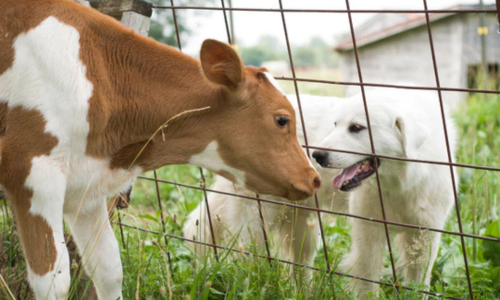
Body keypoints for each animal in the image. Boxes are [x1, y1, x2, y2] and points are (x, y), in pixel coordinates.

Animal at [0, 1, 320, 298]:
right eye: (282, 119)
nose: (314, 178)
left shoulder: (86, 188)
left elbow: (109, 269)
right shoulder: (32, 171)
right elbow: (53, 282)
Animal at [312, 88, 458, 296]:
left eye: (356, 127)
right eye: (335, 124)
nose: (316, 155)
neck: (399, 185)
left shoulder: (425, 236)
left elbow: (418, 285)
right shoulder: (368, 234)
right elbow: (368, 284)